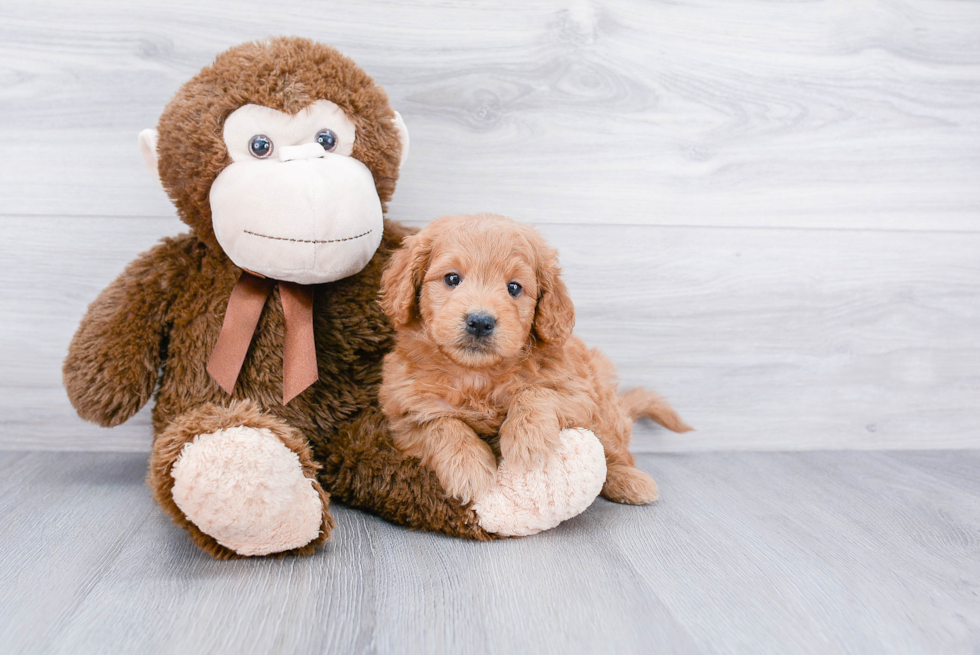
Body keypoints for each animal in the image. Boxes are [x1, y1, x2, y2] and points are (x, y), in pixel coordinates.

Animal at [376, 215, 688, 508]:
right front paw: (469, 469)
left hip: (604, 405)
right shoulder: (406, 415)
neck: (477, 375)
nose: (480, 322)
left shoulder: (578, 393)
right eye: (452, 279)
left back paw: (630, 481)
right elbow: (443, 425)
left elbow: (534, 392)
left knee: (614, 451)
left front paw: (527, 439)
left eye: (514, 288)